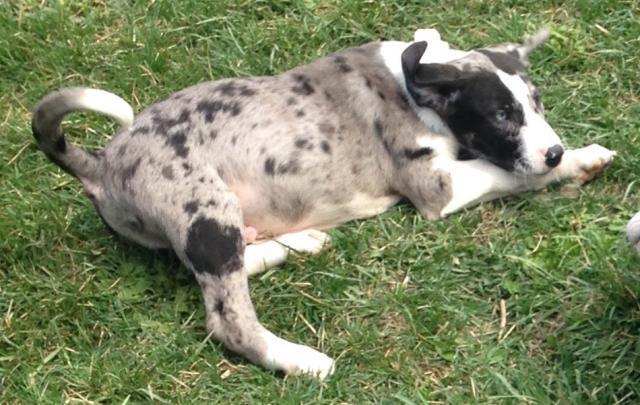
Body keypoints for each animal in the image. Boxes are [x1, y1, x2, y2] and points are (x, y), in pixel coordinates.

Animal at [31, 28, 614, 379]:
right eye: (500, 116)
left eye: (536, 103)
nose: (552, 148)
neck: (416, 84)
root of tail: (100, 162)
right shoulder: (436, 185)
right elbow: (506, 172)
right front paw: (575, 161)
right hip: (204, 213)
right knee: (228, 319)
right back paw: (301, 360)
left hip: (213, 223)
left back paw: (301, 242)